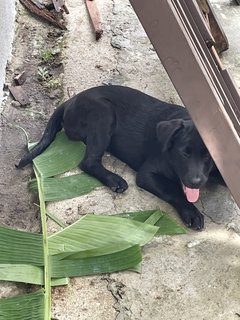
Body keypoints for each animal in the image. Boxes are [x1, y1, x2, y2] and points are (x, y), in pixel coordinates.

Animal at [16, 85, 216, 230]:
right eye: (184, 153)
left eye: (208, 157)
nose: (196, 182)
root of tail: (70, 100)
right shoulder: (147, 174)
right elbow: (173, 191)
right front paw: (191, 213)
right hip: (104, 114)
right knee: (88, 162)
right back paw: (114, 180)